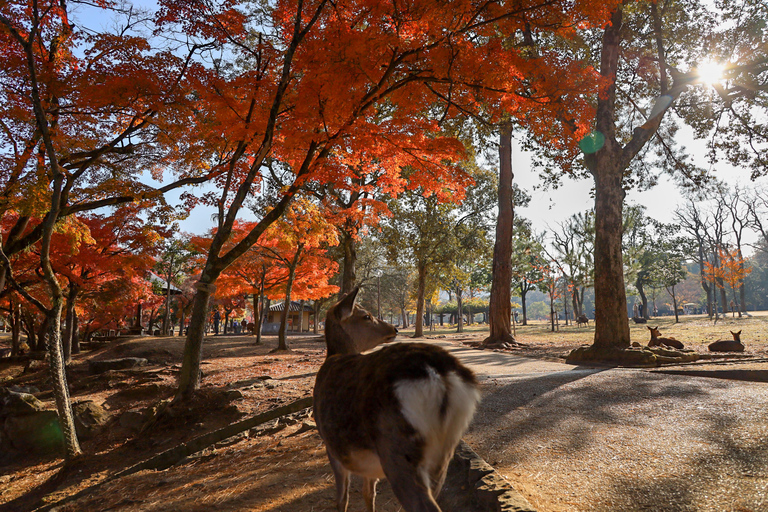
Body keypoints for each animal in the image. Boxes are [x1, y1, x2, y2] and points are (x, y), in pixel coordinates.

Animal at [314, 288, 480, 512]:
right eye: (366, 316)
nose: (394, 328)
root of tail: (439, 372)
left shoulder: (330, 444)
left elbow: (342, 498)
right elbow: (369, 493)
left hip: (397, 448)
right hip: (443, 452)